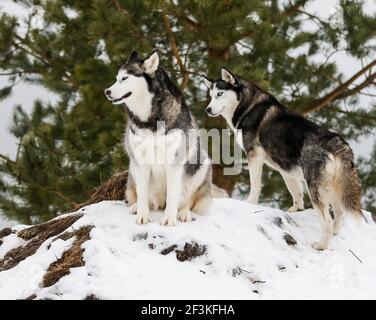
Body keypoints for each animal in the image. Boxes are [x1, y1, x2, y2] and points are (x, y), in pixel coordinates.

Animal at [106, 50, 223, 225]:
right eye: (116, 78)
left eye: (125, 78)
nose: (107, 91)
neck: (150, 121)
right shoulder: (141, 160)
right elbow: (142, 194)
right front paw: (142, 216)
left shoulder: (174, 161)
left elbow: (174, 196)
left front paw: (169, 219)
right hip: (133, 167)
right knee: (142, 196)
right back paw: (136, 207)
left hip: (202, 165)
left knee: (186, 200)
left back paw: (184, 213)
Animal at [203, 68, 362, 250]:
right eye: (211, 95)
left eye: (220, 93)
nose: (208, 109)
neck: (248, 105)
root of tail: (337, 142)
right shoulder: (286, 170)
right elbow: (296, 192)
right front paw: (296, 209)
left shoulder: (254, 155)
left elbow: (255, 185)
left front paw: (250, 203)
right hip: (333, 188)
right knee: (339, 212)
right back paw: (334, 234)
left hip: (315, 189)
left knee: (327, 220)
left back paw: (321, 245)